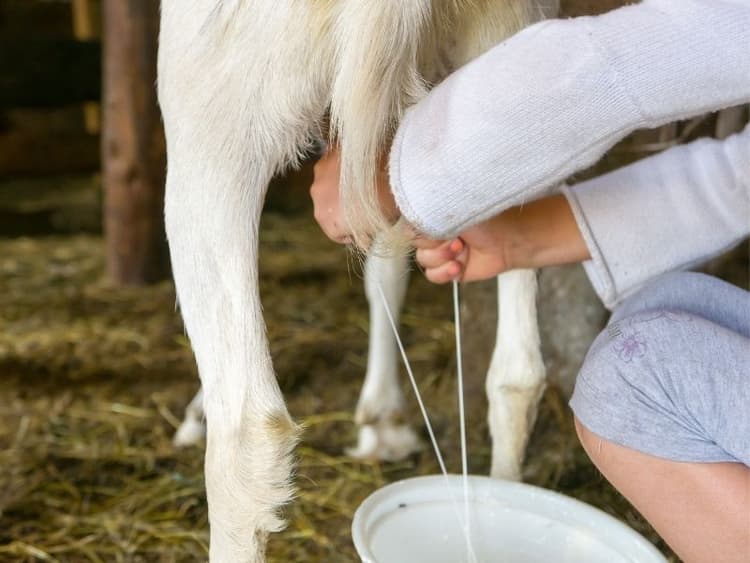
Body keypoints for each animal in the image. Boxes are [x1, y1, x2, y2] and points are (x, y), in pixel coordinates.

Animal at [157, 2, 560, 560]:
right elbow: (385, 257)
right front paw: (383, 421)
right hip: (516, 66)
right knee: (517, 372)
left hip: (213, 119)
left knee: (248, 434)